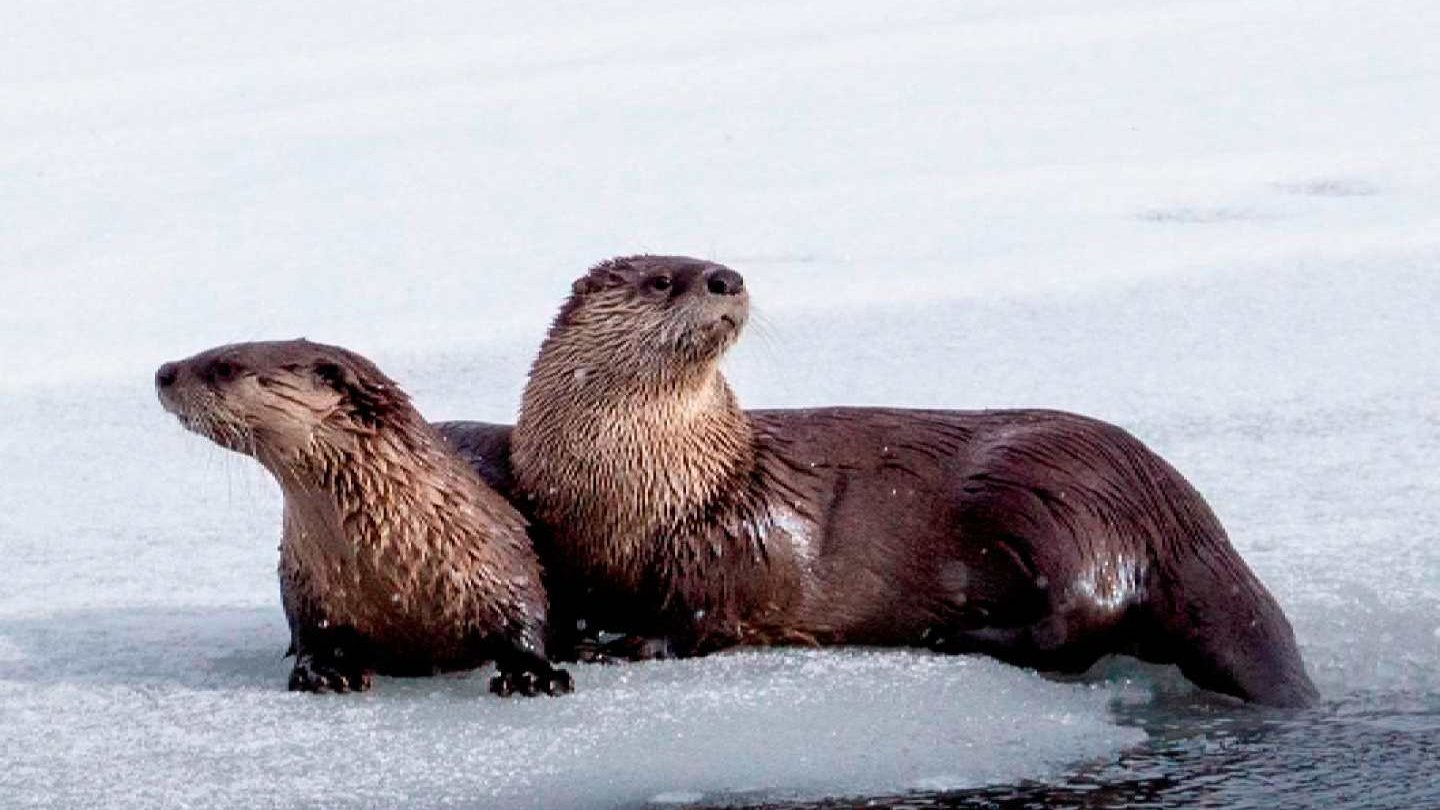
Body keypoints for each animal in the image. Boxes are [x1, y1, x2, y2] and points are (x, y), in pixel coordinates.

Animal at [151, 338, 567, 694]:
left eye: (225, 366)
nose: (163, 371)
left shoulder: (499, 554)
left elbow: (524, 612)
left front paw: (532, 675)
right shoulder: (305, 580)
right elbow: (311, 634)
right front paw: (324, 671)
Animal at [446, 255, 1319, 703]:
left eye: (709, 265)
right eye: (663, 279)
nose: (726, 277)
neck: (642, 483)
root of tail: (1178, 510)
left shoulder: (734, 539)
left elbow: (706, 612)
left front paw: (628, 647)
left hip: (1044, 493)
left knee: (1080, 622)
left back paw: (954, 634)